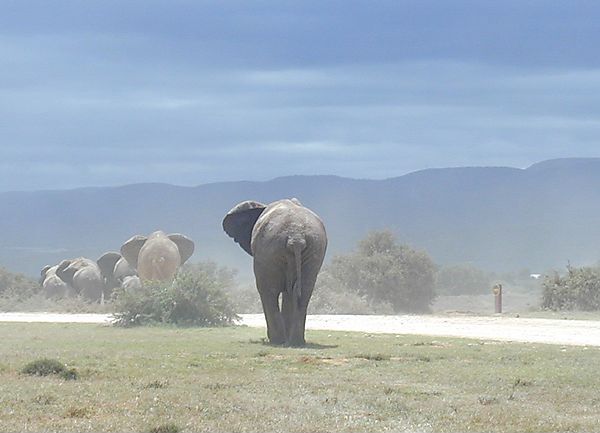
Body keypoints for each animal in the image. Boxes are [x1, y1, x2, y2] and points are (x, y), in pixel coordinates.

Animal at [224, 198, 328, 344]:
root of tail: (296, 237)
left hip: (269, 251)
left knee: (268, 290)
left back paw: (276, 340)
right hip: (313, 250)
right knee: (303, 291)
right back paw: (295, 342)